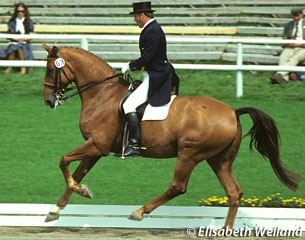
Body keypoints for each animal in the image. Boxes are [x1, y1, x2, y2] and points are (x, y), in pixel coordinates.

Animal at [43, 43, 300, 229]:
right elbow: (77, 171)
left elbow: (63, 161)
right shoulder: (96, 147)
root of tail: (232, 111)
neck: (102, 94)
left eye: (50, 69)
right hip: (219, 159)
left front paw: (81, 191)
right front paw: (56, 209)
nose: (48, 101)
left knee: (178, 186)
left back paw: (139, 212)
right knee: (234, 192)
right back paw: (225, 231)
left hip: (190, 153)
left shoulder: (97, 145)